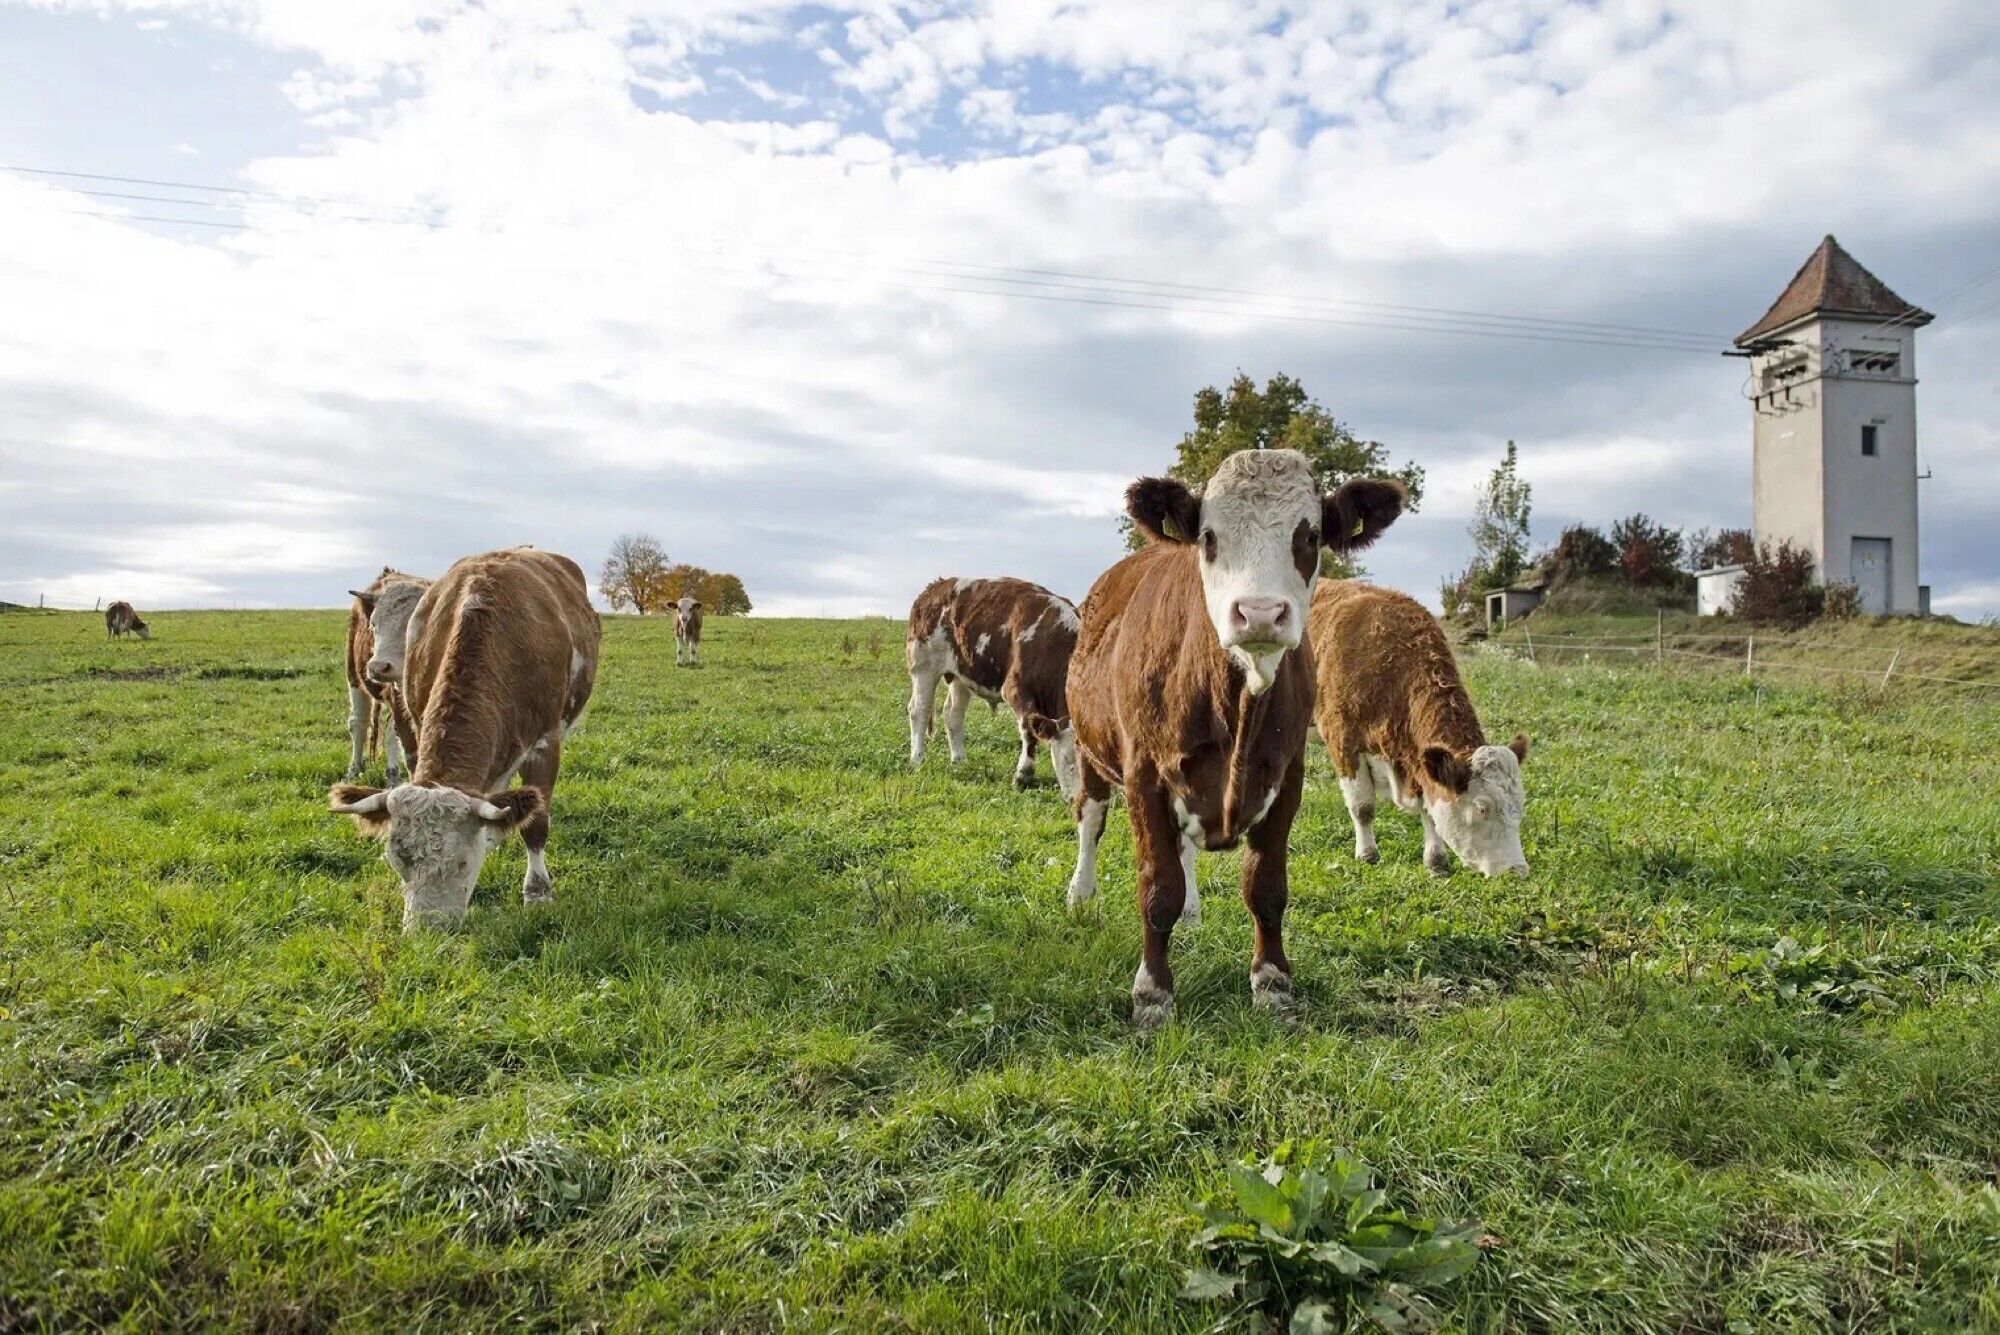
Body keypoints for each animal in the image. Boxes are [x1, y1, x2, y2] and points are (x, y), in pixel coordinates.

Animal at [344, 567, 431, 782]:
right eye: (373, 625)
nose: (377, 667)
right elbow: (413, 754)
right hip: (354, 677)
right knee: (358, 722)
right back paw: (353, 771)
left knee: (391, 732)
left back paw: (392, 777)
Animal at [905, 576, 1082, 798]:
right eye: (1068, 759)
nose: (1082, 798)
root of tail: (936, 586)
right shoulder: (1015, 689)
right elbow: (1028, 731)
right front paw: (1023, 776)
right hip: (923, 666)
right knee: (919, 710)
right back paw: (917, 760)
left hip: (961, 673)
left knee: (953, 714)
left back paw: (960, 761)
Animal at [1064, 449, 1404, 1027]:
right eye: (1208, 536)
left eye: (1310, 535)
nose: (1260, 613)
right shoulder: (1144, 775)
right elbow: (1157, 888)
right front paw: (1152, 995)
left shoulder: (1288, 776)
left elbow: (1265, 887)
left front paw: (1272, 983)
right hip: (1091, 750)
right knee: (1091, 817)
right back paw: (1081, 891)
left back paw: (1193, 910)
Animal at [1308, 582, 1529, 878]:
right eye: (1482, 808)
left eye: (1520, 805)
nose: (1517, 870)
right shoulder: (1343, 741)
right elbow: (1362, 807)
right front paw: (1367, 855)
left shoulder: (1420, 761)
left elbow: (1430, 811)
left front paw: (1437, 863)